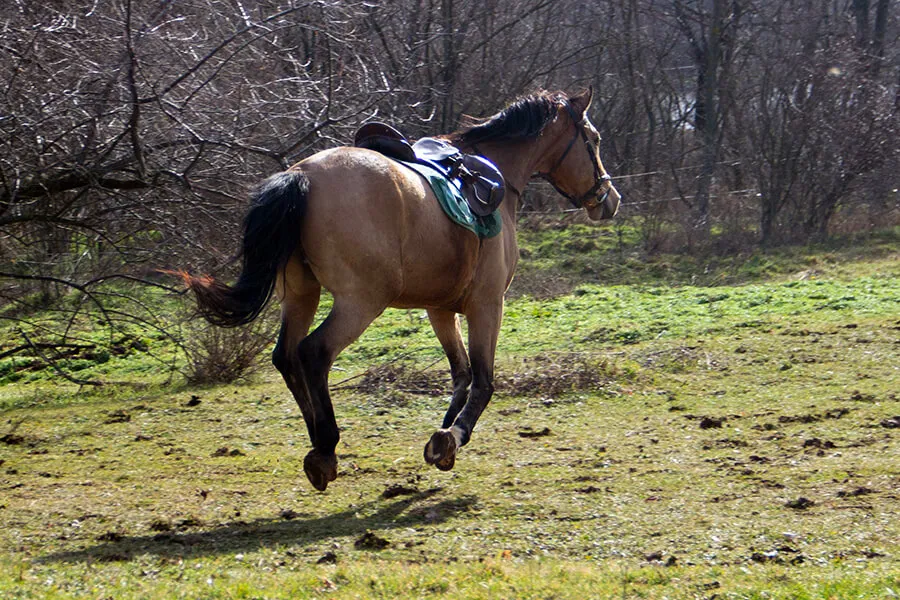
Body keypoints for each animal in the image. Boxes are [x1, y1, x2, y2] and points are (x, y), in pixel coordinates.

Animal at [181, 88, 621, 491]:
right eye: (595, 139)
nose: (610, 199)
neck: (498, 176)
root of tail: (302, 175)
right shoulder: (487, 304)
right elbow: (483, 381)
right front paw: (453, 436)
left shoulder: (440, 309)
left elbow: (461, 374)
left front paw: (442, 443)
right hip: (361, 301)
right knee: (313, 353)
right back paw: (326, 446)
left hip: (302, 294)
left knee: (286, 357)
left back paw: (318, 443)